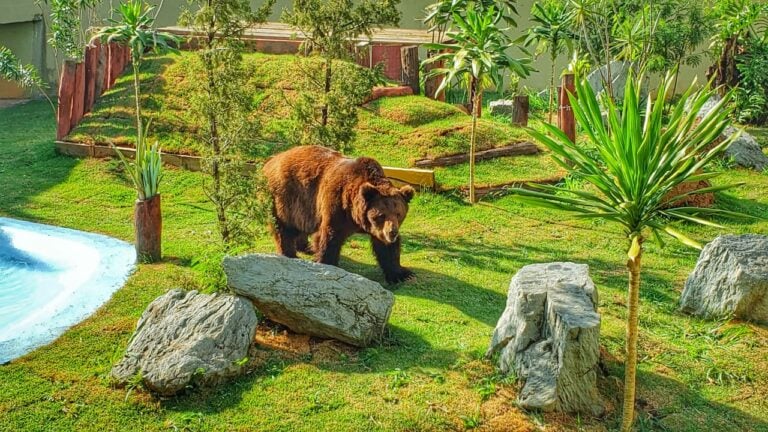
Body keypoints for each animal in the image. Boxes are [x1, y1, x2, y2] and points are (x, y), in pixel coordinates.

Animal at [262, 147, 414, 286]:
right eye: (381, 215)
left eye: (398, 214)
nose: (392, 232)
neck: (355, 215)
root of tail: (271, 160)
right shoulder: (336, 205)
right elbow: (330, 237)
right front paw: (327, 263)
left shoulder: (376, 228)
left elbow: (387, 248)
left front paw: (402, 274)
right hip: (284, 197)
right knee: (283, 228)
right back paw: (289, 254)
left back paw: (306, 247)